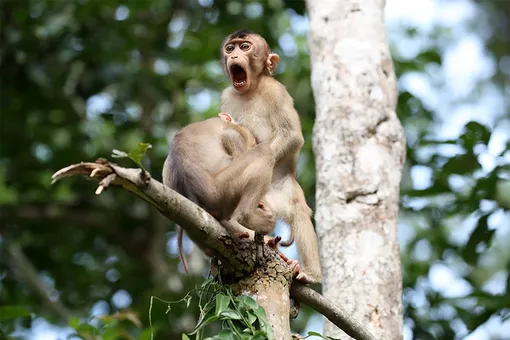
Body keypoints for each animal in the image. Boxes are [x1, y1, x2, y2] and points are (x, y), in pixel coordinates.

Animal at [163, 113, 276, 272]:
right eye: (252, 141)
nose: (252, 144)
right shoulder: (235, 135)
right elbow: (230, 137)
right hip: (223, 190)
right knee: (264, 151)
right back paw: (246, 218)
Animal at [219, 29, 322, 284]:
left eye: (245, 47)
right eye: (230, 48)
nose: (233, 56)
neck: (251, 89)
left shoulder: (276, 91)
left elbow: (292, 135)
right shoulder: (227, 96)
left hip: (284, 191)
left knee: (298, 209)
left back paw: (309, 273)